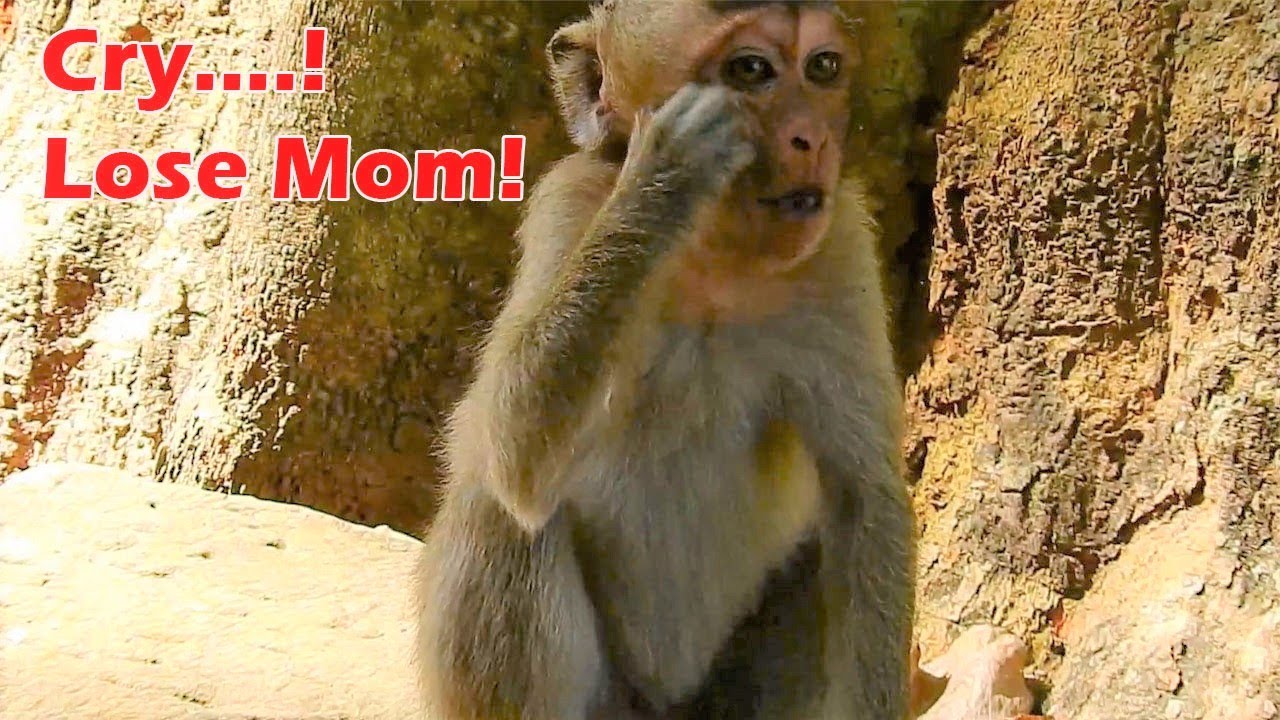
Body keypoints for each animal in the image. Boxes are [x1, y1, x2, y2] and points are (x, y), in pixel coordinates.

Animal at [414, 2, 915, 719]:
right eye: (751, 70)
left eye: (822, 67)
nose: (812, 139)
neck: (710, 258)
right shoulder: (569, 202)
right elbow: (512, 442)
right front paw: (666, 176)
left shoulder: (839, 243)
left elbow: (863, 496)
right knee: (500, 508)